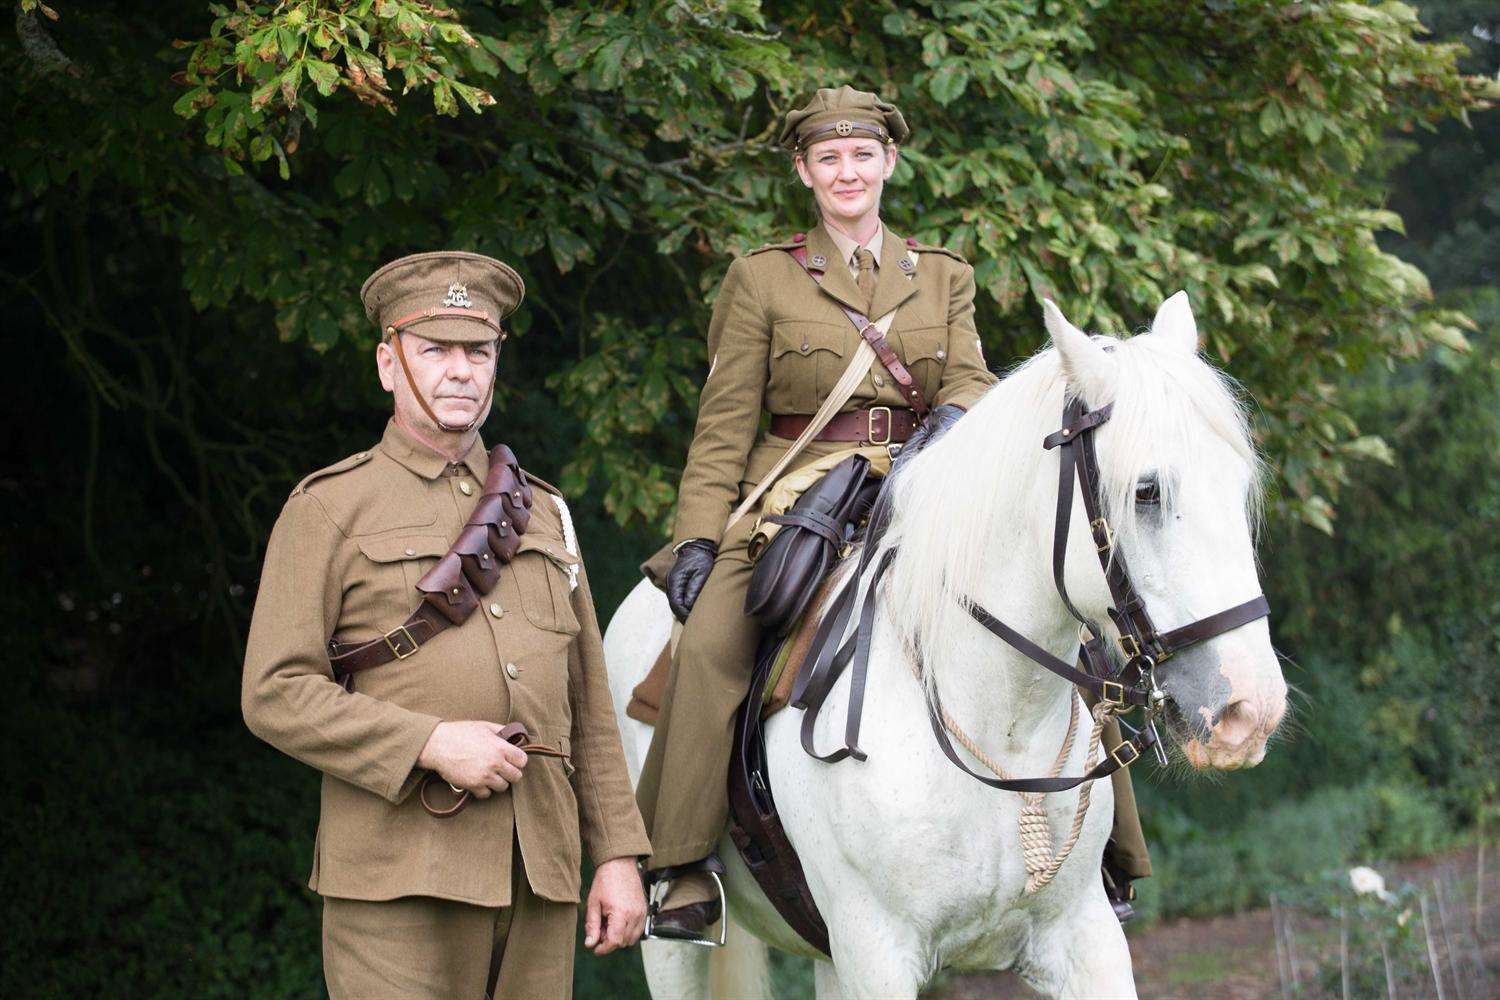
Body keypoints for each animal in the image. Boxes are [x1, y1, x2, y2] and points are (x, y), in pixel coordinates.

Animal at [603, 293, 1284, 995]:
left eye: (1239, 485)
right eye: (1147, 491)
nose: (1248, 710)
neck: (998, 725)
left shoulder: (1083, 935)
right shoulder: (877, 953)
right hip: (676, 944)